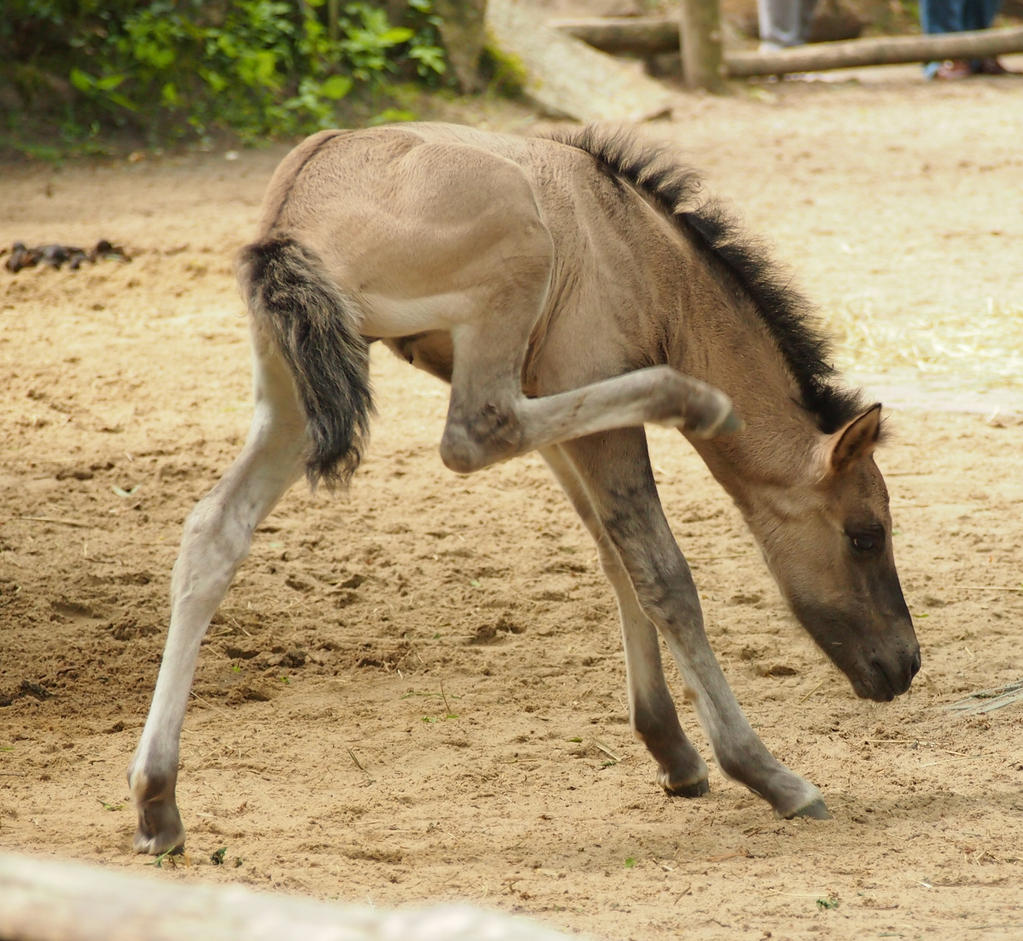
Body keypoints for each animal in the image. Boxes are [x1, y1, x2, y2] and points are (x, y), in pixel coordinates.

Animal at [127, 123, 920, 850]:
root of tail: (294, 209)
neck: (643, 252)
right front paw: (766, 773)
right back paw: (690, 399)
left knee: (214, 532)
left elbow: (614, 554)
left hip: (297, 394)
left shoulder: (566, 419)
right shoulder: (589, 402)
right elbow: (662, 576)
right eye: (865, 534)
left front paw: (671, 748)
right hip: (514, 264)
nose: (904, 663)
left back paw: (158, 800)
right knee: (473, 433)